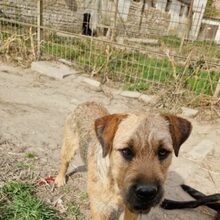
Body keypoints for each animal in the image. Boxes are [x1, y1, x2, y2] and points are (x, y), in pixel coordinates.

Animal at [55, 102, 192, 220]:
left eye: (163, 152)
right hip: (69, 147)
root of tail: (87, 102)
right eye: (126, 151)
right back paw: (60, 179)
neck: (116, 185)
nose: (147, 193)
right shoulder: (101, 210)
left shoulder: (132, 210)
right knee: (64, 162)